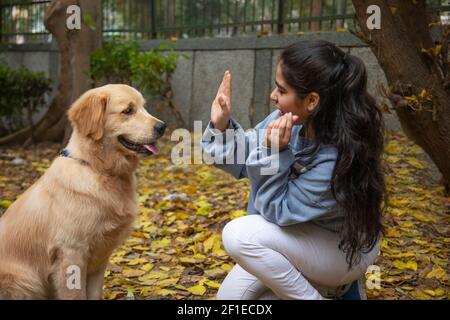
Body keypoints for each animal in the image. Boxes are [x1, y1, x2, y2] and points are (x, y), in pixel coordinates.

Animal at [0, 84, 165, 298]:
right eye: (128, 110)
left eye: (144, 107)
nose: (162, 127)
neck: (99, 169)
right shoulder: (71, 254)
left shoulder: (100, 257)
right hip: (24, 280)